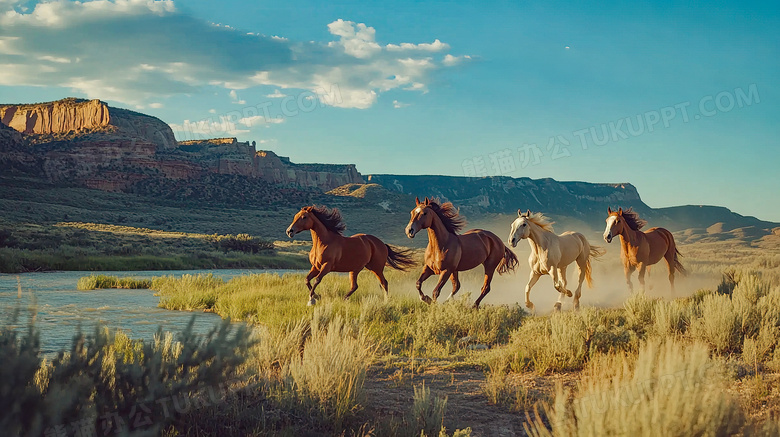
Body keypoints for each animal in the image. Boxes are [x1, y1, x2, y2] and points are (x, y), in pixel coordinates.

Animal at [286, 205, 418, 304]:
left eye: (303, 217)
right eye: (295, 216)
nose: (289, 231)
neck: (324, 242)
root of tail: (382, 244)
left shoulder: (327, 266)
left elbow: (317, 280)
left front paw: (311, 299)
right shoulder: (316, 267)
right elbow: (307, 280)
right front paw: (316, 296)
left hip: (376, 268)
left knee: (384, 283)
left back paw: (386, 301)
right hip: (355, 270)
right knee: (355, 286)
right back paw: (345, 298)